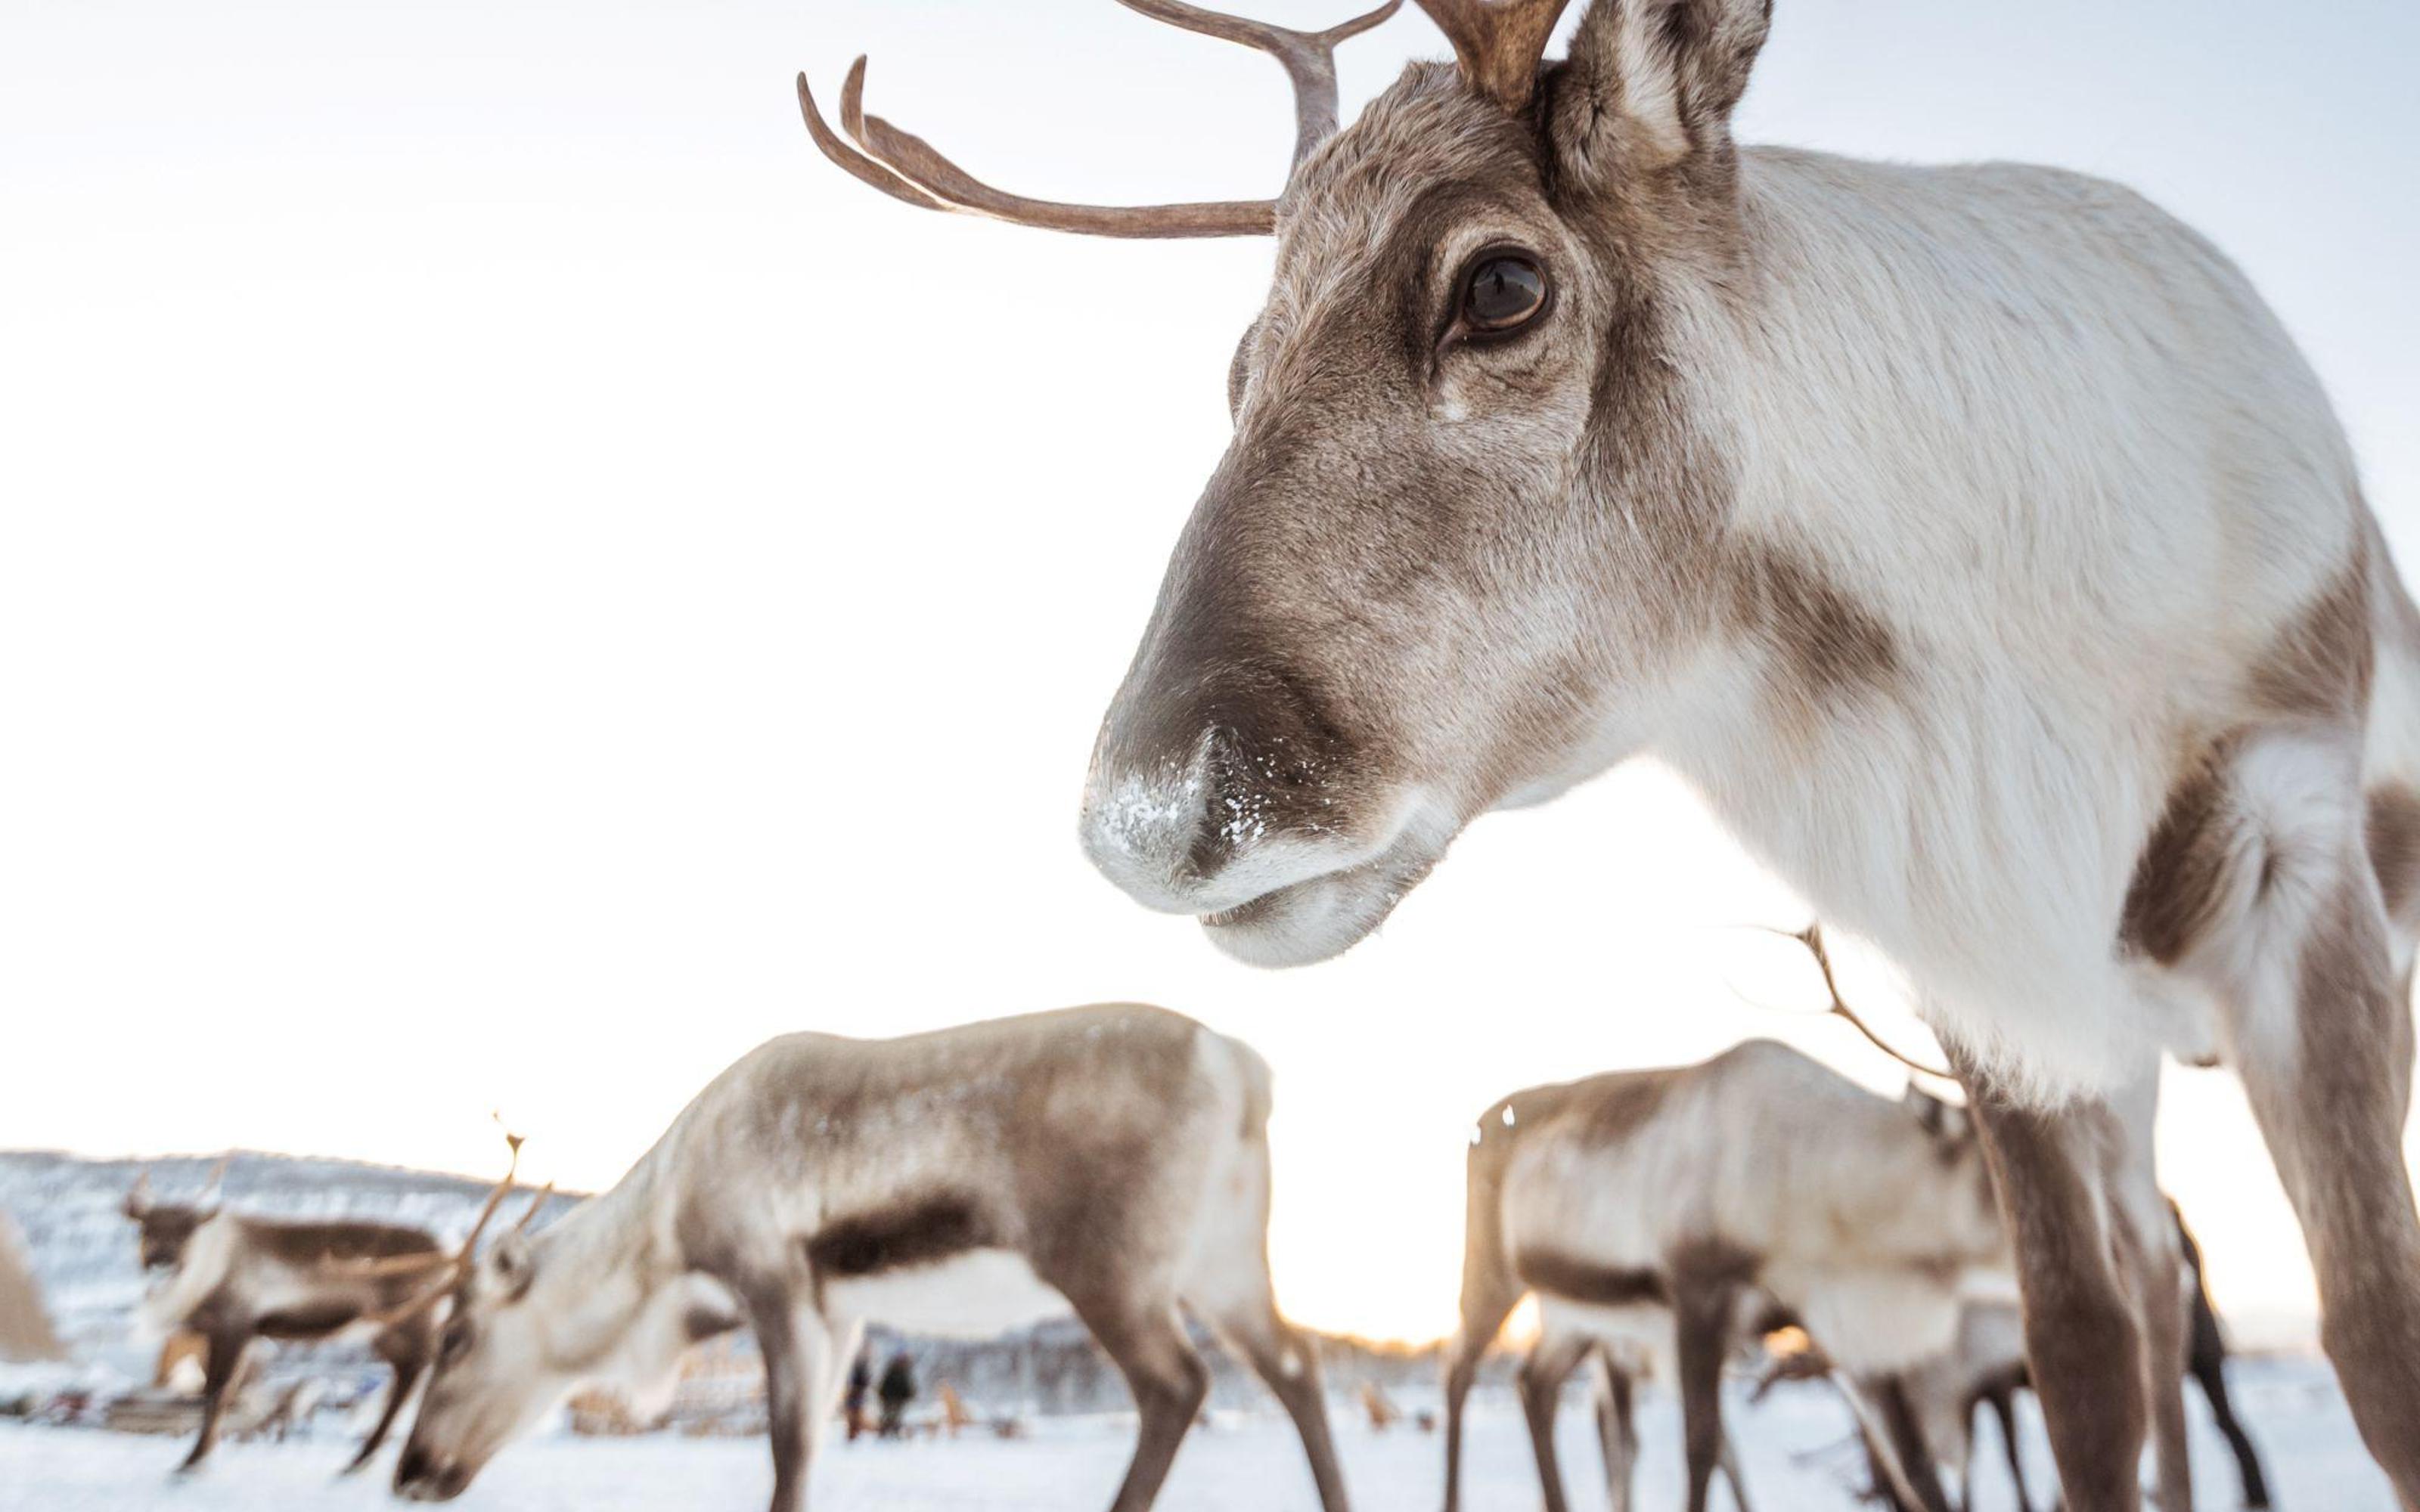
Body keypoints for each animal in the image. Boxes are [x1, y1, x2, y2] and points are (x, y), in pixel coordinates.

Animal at [122, 1158, 459, 1476]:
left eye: (189, 1230)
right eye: (146, 1228)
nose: (162, 1263)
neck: (209, 1270)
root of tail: (449, 1253)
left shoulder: (235, 1324)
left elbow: (218, 1391)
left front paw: (193, 1461)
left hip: (409, 1324)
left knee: (419, 1371)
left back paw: (368, 1459)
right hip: (388, 1333)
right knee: (411, 1374)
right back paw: (368, 1458)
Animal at [386, 1003, 1348, 1512]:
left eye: (457, 1337)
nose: (409, 1470)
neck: (665, 1241)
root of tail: (1242, 1068)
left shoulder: (772, 1276)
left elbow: (788, 1443)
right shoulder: (841, 1308)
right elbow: (816, 1436)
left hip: (1110, 1267)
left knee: (1176, 1383)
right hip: (1223, 1262)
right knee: (1295, 1365)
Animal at [1441, 1040, 2009, 1512]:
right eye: (1991, 1168)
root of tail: (1478, 1123)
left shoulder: (1839, 1325)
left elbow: (1912, 1465)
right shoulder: (1698, 1292)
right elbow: (1701, 1447)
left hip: (1578, 1318)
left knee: (1534, 1383)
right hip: (1493, 1277)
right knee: (1459, 1371)